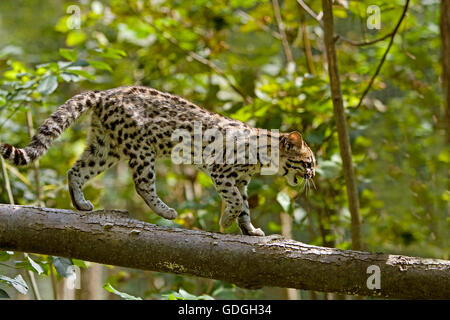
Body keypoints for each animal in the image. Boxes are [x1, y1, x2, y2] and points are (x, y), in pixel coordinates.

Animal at [0, 86, 316, 236]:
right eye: (309, 162)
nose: (313, 176)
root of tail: (105, 92)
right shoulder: (222, 172)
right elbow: (238, 203)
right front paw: (226, 219)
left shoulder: (240, 181)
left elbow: (245, 208)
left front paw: (250, 231)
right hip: (140, 149)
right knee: (142, 184)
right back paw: (166, 211)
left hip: (105, 148)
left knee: (75, 170)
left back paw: (81, 204)